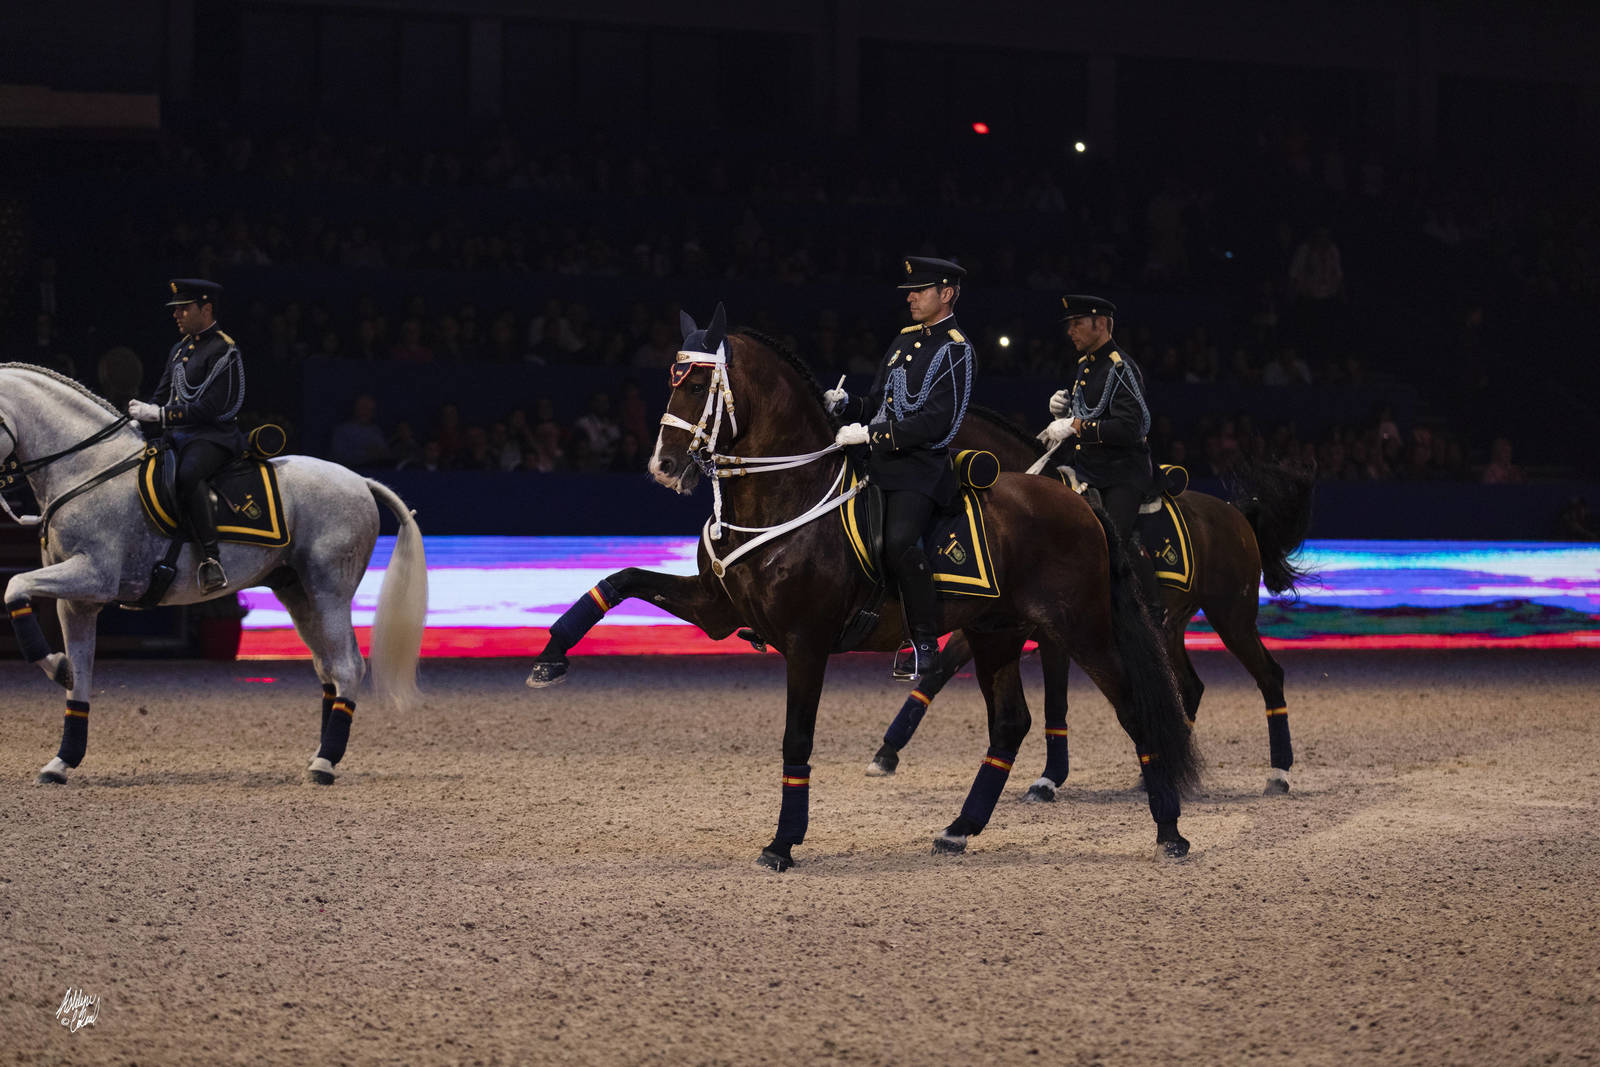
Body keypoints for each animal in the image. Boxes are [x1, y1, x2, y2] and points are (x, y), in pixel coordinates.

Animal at [0, 364, 428, 785]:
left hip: (329, 591)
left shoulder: (93, 575)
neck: (88, 470)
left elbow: (14, 586)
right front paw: (62, 755)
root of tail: (360, 480)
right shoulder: (78, 601)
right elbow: (81, 674)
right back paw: (322, 755)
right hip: (299, 594)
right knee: (328, 668)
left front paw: (55, 666)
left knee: (348, 666)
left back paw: (325, 763)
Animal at [526, 307, 1200, 869]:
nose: (663, 468)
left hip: (1081, 627)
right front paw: (550, 656)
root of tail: (1078, 500)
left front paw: (782, 843)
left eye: (696, 385)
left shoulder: (806, 641)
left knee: (1135, 709)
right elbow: (621, 581)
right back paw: (959, 829)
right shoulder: (718, 608)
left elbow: (796, 738)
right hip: (996, 633)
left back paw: (1169, 830)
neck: (786, 492)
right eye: (671, 379)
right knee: (1010, 723)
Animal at [865, 407, 1316, 796]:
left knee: (1270, 676)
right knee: (1189, 687)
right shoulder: (997, 623)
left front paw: (1049, 779)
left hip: (1232, 617)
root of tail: (1235, 513)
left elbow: (1055, 701)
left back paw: (1277, 774)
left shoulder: (1051, 632)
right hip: (1169, 627)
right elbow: (937, 674)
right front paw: (885, 754)